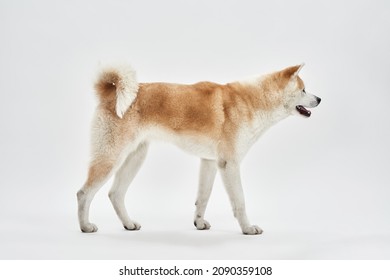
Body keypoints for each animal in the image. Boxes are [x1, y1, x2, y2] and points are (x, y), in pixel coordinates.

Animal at [75, 63, 320, 234]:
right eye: (304, 89)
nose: (319, 98)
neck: (253, 101)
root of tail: (110, 91)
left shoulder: (210, 162)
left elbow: (203, 198)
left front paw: (199, 223)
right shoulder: (229, 165)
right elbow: (240, 201)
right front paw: (248, 229)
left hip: (135, 157)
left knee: (115, 194)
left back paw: (128, 224)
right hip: (111, 158)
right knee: (83, 193)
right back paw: (85, 226)